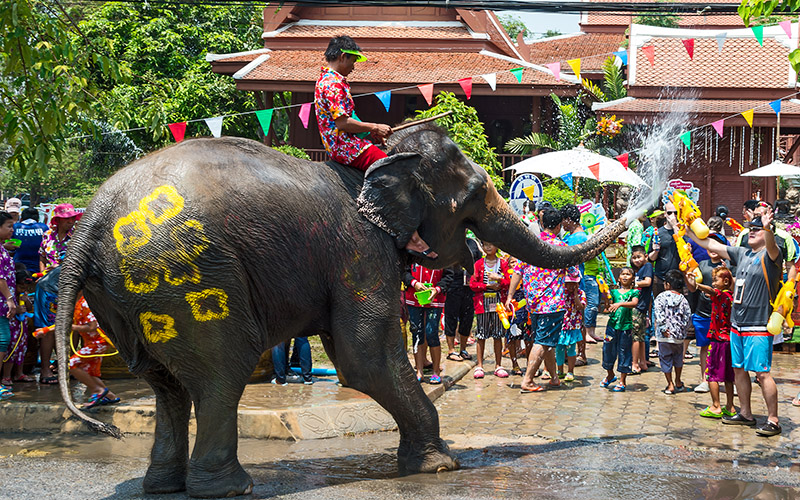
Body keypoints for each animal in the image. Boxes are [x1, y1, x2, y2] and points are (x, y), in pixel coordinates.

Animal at [54, 124, 624, 496]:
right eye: (474, 196)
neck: (382, 159)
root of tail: (90, 222)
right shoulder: (359, 249)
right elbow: (363, 358)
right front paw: (441, 466)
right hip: (186, 275)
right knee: (221, 374)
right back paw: (231, 488)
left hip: (126, 299)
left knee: (165, 384)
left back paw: (163, 486)